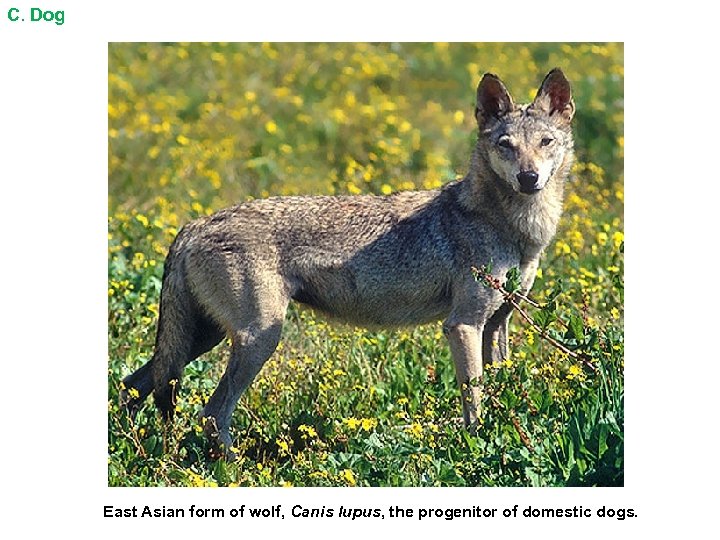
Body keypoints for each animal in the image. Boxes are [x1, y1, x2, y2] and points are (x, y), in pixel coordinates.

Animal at [119, 68, 575, 458]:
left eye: (545, 143)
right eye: (506, 146)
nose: (529, 178)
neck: (513, 229)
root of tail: (194, 224)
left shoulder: (496, 323)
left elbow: (499, 391)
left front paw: (504, 437)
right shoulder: (462, 325)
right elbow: (475, 399)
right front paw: (476, 448)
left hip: (205, 339)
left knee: (133, 386)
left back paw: (138, 454)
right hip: (257, 338)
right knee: (211, 413)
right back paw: (232, 469)